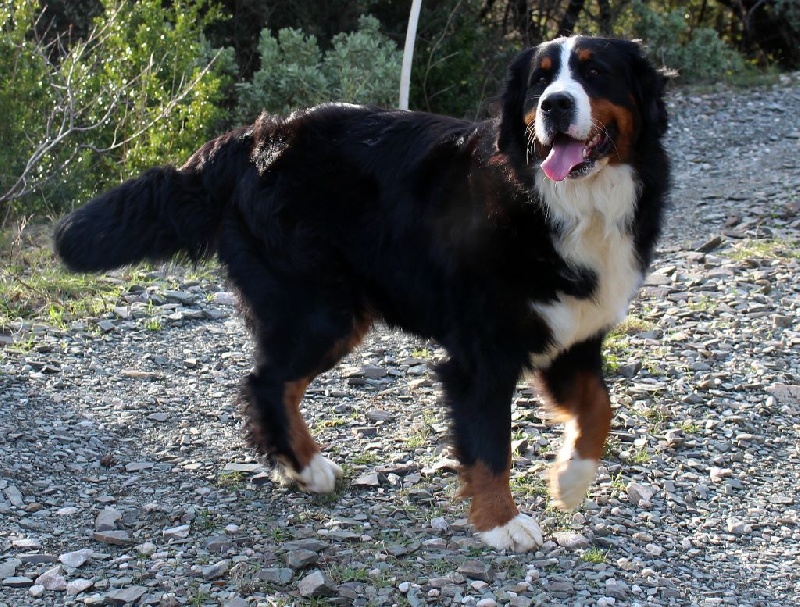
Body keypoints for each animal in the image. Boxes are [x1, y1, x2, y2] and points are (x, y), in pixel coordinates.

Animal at [53, 35, 672, 552]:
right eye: (539, 83)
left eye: (595, 73)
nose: (554, 106)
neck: (568, 204)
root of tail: (252, 137)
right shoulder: (484, 351)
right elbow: (489, 444)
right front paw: (501, 522)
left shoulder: (573, 331)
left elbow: (599, 407)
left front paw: (570, 480)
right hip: (322, 308)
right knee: (266, 381)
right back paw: (304, 466)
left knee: (276, 383)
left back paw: (298, 464)